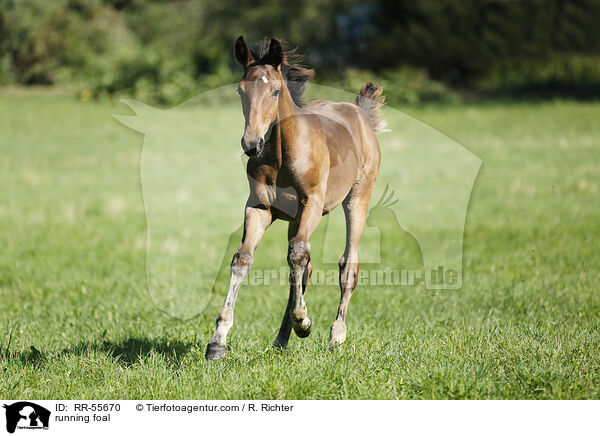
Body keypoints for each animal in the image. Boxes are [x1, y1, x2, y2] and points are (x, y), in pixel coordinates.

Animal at [205, 36, 384, 362]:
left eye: (275, 90)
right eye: (241, 91)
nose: (251, 144)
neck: (281, 155)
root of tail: (359, 112)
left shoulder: (311, 203)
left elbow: (299, 254)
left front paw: (304, 321)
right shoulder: (259, 208)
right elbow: (243, 259)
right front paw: (217, 341)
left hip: (357, 199)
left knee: (347, 265)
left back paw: (336, 335)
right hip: (294, 218)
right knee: (302, 270)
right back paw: (282, 338)